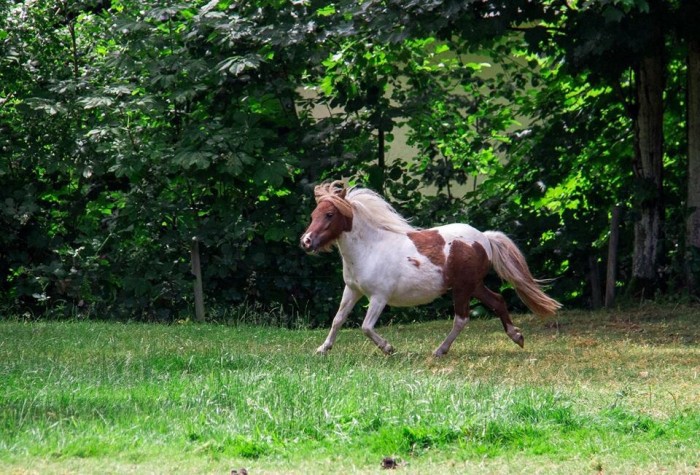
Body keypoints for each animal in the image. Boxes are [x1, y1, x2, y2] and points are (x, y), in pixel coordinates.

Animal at [298, 181, 560, 356]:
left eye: (329, 214)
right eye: (313, 214)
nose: (306, 242)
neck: (370, 249)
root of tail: (484, 238)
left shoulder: (379, 297)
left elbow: (365, 327)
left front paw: (389, 348)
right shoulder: (352, 290)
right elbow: (338, 319)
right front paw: (322, 349)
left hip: (462, 288)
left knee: (462, 319)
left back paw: (439, 350)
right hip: (473, 285)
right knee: (497, 301)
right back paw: (517, 337)